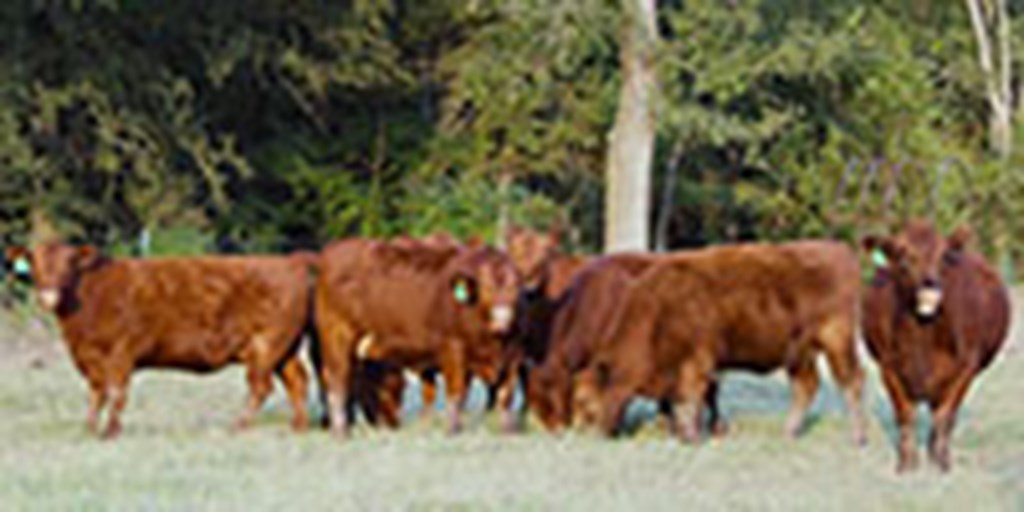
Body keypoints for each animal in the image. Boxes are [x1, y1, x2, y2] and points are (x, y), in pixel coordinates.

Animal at [4, 242, 313, 436]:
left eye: (69, 264)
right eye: (34, 262)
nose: (48, 295)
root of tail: (290, 260)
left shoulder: (121, 353)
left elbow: (116, 392)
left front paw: (110, 431)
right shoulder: (89, 357)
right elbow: (96, 393)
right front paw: (89, 428)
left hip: (266, 345)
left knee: (261, 387)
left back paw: (238, 426)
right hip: (284, 350)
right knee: (296, 380)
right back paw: (298, 426)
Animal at [311, 237, 520, 438]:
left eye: (515, 289)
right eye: (486, 288)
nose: (503, 318)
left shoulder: (512, 357)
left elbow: (505, 395)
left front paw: (508, 431)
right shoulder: (452, 349)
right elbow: (456, 392)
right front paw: (453, 430)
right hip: (337, 337)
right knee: (338, 381)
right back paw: (341, 432)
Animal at [577, 239, 864, 444]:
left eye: (585, 399)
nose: (586, 433)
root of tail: (840, 251)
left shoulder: (697, 363)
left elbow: (693, 397)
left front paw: (691, 435)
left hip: (837, 341)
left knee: (851, 381)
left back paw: (858, 438)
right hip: (799, 354)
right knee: (807, 386)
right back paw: (789, 433)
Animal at [864, 221, 1007, 471]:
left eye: (943, 257)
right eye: (902, 256)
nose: (930, 284)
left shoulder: (966, 368)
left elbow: (946, 415)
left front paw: (941, 461)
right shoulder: (887, 367)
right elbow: (905, 415)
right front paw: (907, 462)